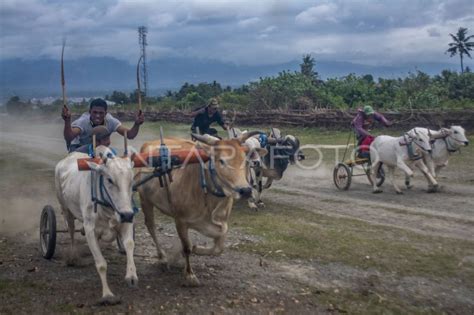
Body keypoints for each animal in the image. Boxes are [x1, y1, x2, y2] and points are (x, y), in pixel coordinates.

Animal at [55, 147, 138, 304]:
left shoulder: (126, 221)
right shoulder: (90, 231)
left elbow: (130, 244)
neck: (106, 208)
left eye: (131, 180)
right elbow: (101, 264)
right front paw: (107, 294)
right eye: (110, 179)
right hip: (66, 209)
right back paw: (73, 257)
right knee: (71, 231)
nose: (127, 215)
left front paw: (131, 275)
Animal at [135, 133, 264, 286]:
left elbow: (218, 248)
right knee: (151, 227)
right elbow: (187, 247)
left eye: (245, 161)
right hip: (145, 200)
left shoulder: (221, 223)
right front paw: (189, 275)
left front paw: (196, 249)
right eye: (221, 161)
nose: (245, 190)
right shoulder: (180, 221)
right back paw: (162, 257)